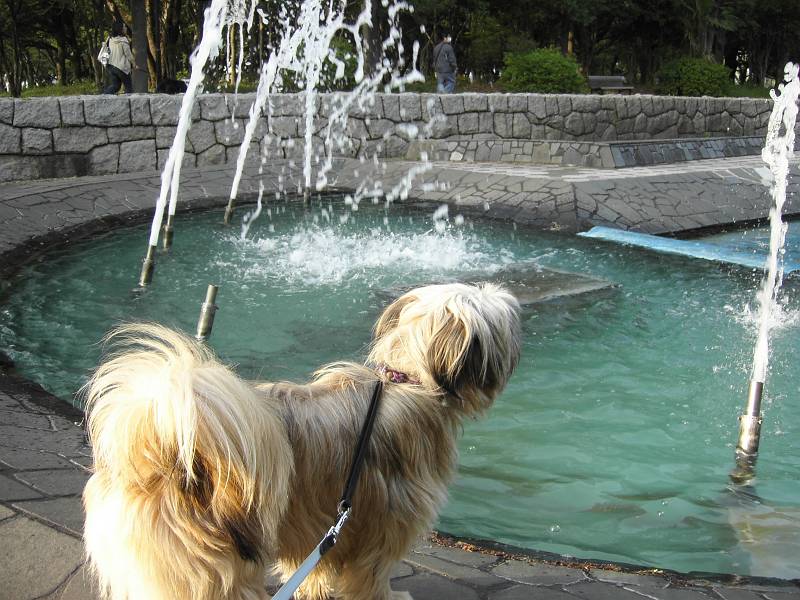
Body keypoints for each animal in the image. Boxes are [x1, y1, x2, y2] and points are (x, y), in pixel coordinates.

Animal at [83, 283, 521, 600]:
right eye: (503, 325)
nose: (519, 329)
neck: (409, 381)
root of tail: (157, 453)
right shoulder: (383, 527)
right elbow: (371, 577)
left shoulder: (318, 525)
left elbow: (313, 569)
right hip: (208, 566)